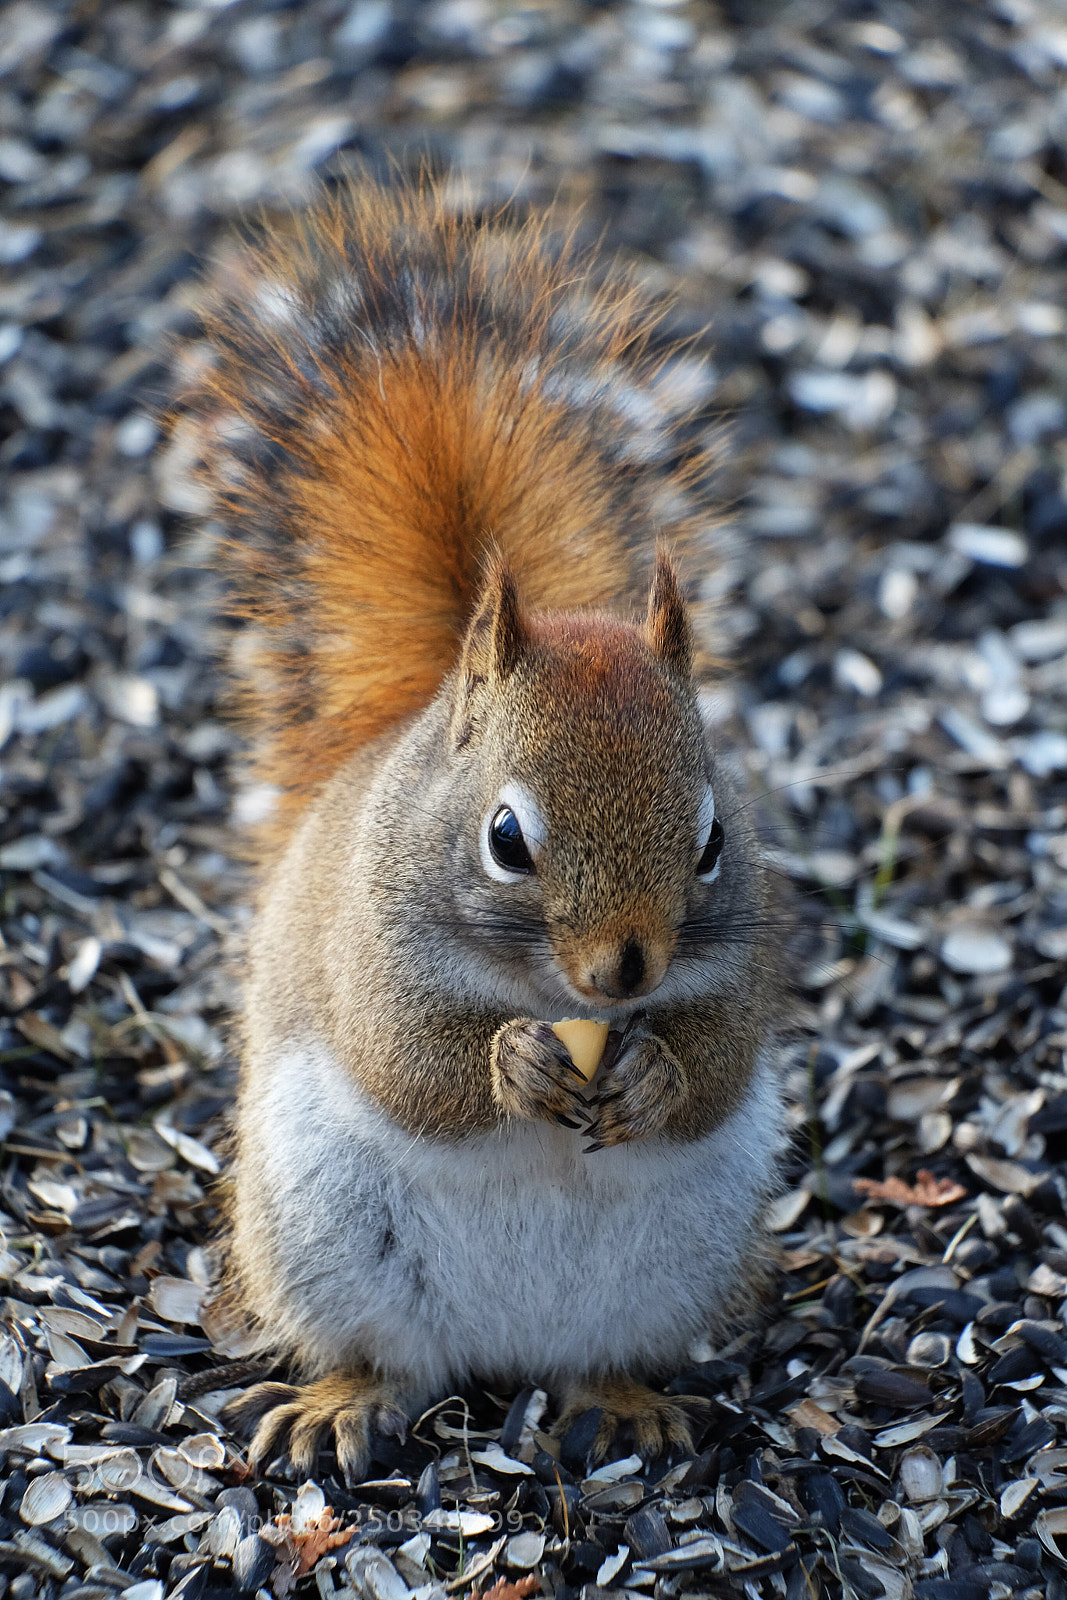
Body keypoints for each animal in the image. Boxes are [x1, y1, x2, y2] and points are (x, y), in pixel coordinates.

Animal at [188, 178, 788, 1480]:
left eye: (712, 838)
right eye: (506, 837)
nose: (623, 970)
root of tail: (507, 1351)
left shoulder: (740, 963)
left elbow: (717, 1061)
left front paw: (657, 1072)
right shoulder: (362, 950)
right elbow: (407, 1063)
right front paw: (510, 1063)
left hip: (670, 1262)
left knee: (597, 1355)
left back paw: (617, 1400)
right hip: (322, 1239)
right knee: (385, 1357)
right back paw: (343, 1402)